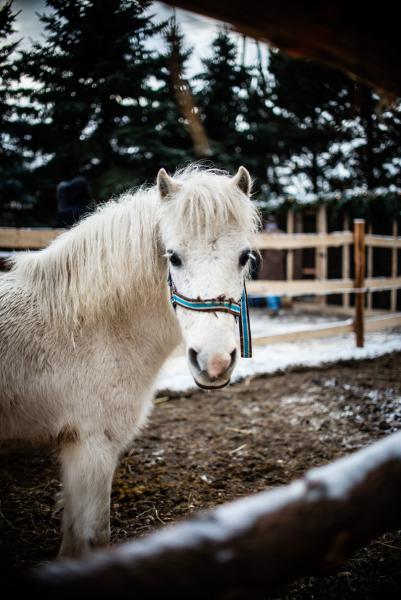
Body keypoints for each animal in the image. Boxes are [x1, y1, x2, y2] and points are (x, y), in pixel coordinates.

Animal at [0, 165, 258, 556]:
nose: (213, 361)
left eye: (244, 256)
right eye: (173, 257)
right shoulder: (92, 446)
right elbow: (93, 537)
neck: (81, 327)